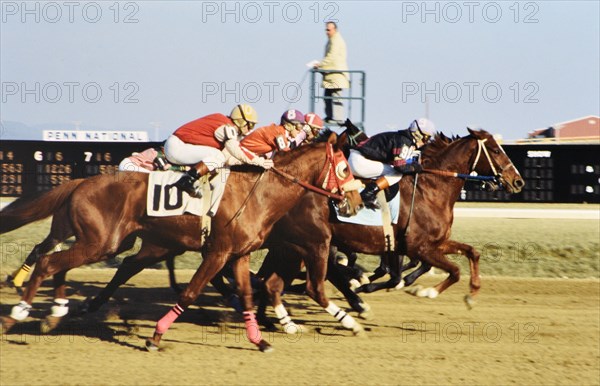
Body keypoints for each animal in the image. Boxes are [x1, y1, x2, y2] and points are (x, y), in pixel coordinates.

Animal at [1, 133, 360, 352]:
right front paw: (155, 336)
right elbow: (189, 292)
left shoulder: (240, 255)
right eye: (344, 168)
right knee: (48, 261)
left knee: (65, 262)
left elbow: (246, 295)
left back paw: (55, 312)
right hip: (101, 242)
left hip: (112, 242)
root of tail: (79, 182)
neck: (257, 194)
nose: (356, 202)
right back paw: (18, 314)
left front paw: (259, 341)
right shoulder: (218, 253)